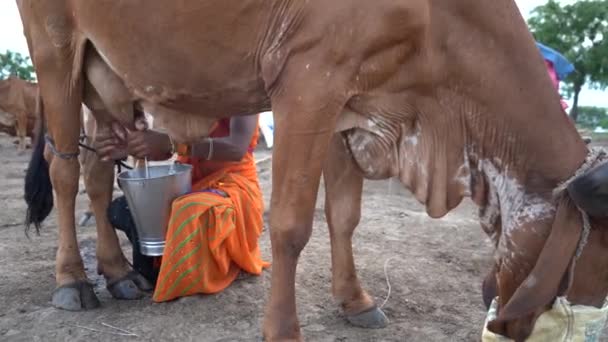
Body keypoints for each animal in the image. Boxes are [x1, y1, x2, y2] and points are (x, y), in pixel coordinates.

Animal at [15, 0, 608, 342]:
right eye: (593, 265)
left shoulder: (354, 105)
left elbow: (343, 217)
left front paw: (356, 300)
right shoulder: (309, 82)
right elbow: (291, 226)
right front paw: (283, 329)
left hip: (106, 79)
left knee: (97, 174)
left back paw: (118, 273)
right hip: (55, 50)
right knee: (65, 173)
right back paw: (73, 281)